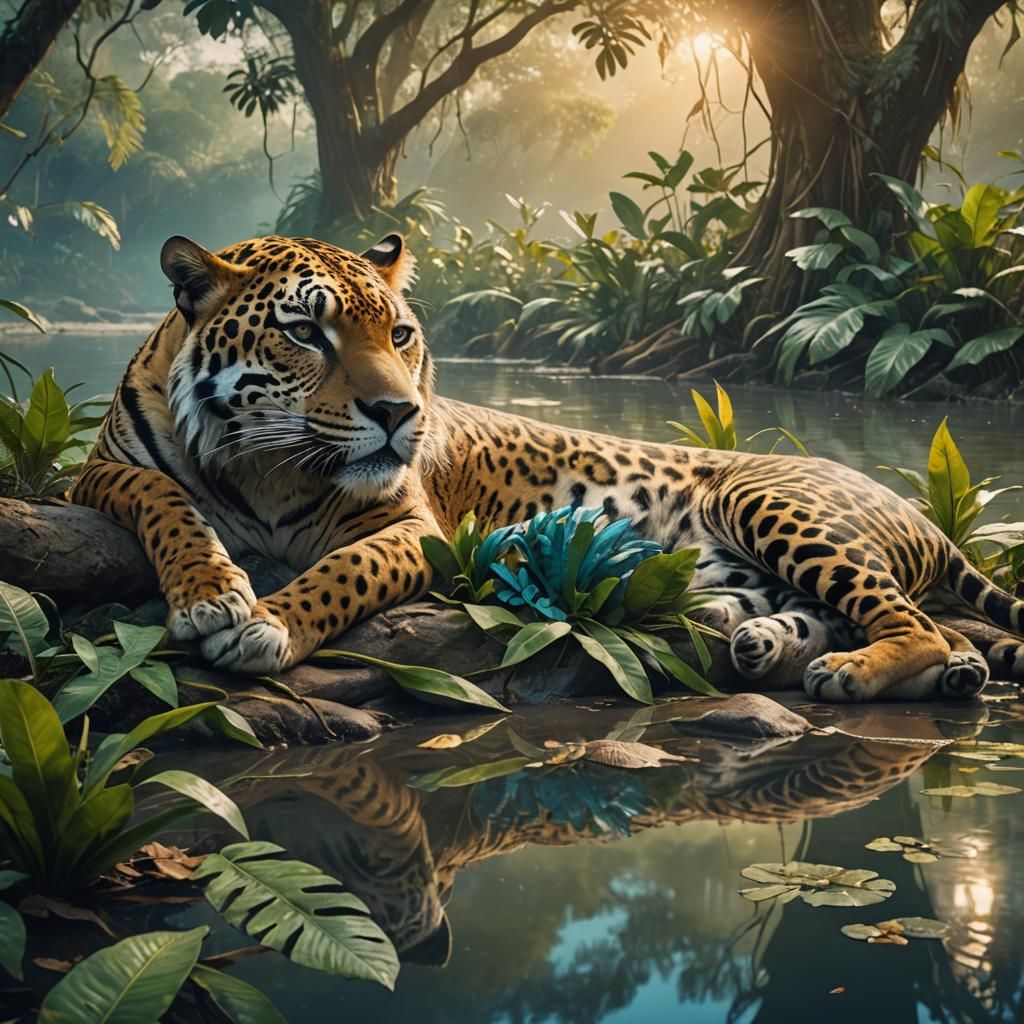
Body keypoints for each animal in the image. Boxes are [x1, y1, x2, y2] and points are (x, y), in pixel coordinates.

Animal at [70, 231, 1024, 703]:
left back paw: (856, 673)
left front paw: (269, 624)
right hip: (745, 571)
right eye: (306, 331)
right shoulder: (100, 472)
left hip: (769, 501)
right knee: (851, 618)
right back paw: (770, 645)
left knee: (915, 623)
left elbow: (346, 571)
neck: (266, 463)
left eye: (400, 334)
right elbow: (164, 498)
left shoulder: (416, 530)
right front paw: (210, 591)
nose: (399, 415)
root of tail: (922, 512)